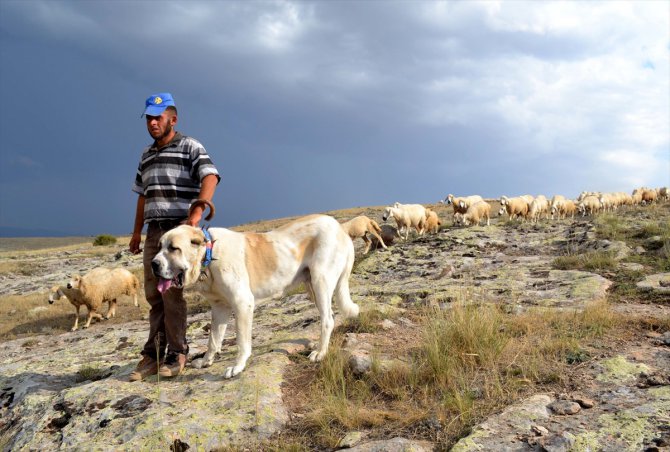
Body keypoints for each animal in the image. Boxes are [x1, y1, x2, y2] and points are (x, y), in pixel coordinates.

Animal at [152, 212, 362, 378]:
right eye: (159, 246)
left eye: (173, 248)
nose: (153, 264)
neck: (209, 255)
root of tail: (340, 227)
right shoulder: (219, 308)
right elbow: (213, 339)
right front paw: (205, 361)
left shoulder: (243, 303)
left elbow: (242, 341)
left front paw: (237, 366)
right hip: (313, 287)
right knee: (328, 316)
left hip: (321, 281)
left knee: (328, 320)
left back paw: (320, 352)